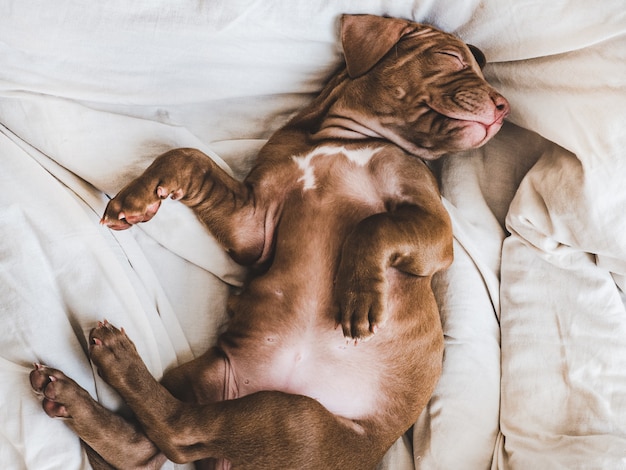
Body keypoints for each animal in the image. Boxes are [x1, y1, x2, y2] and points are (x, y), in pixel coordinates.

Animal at [30, 14, 508, 470]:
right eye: (450, 58)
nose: (504, 106)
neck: (347, 138)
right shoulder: (253, 224)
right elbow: (187, 157)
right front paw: (136, 199)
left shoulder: (435, 230)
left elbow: (374, 226)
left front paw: (358, 298)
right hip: (215, 380)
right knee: (149, 447)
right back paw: (73, 393)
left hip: (295, 421)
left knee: (176, 434)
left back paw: (112, 360)